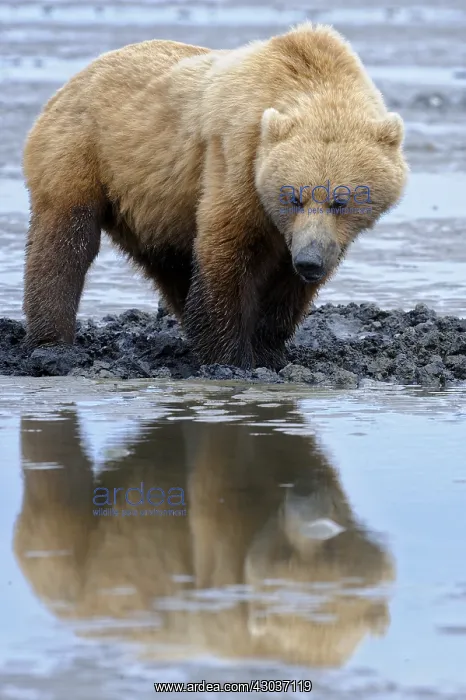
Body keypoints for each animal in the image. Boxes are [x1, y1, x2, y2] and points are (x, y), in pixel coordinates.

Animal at [23, 23, 408, 369]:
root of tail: (72, 81)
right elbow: (227, 252)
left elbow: (286, 286)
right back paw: (52, 342)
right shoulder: (238, 158)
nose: (309, 261)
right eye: (293, 197)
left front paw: (269, 350)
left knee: (169, 262)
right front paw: (231, 358)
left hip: (152, 204)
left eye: (341, 200)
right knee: (66, 240)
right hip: (81, 150)